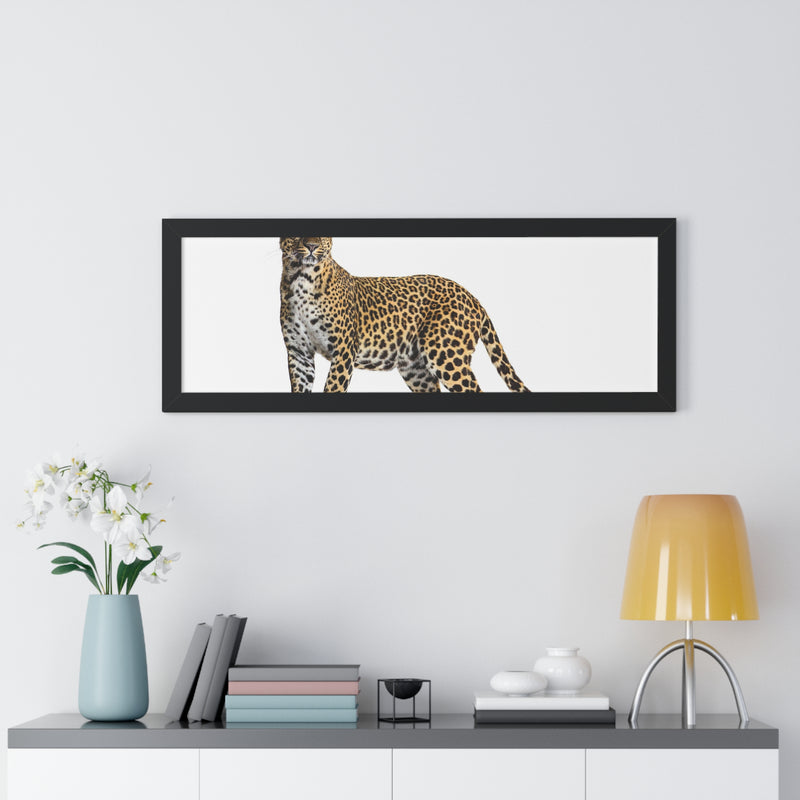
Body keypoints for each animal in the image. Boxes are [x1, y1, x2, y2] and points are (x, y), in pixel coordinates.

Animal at [278, 236, 529, 393]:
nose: (312, 246)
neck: (300, 279)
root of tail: (473, 297)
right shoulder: (299, 353)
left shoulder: (343, 352)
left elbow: (333, 388)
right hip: (416, 369)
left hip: (446, 355)